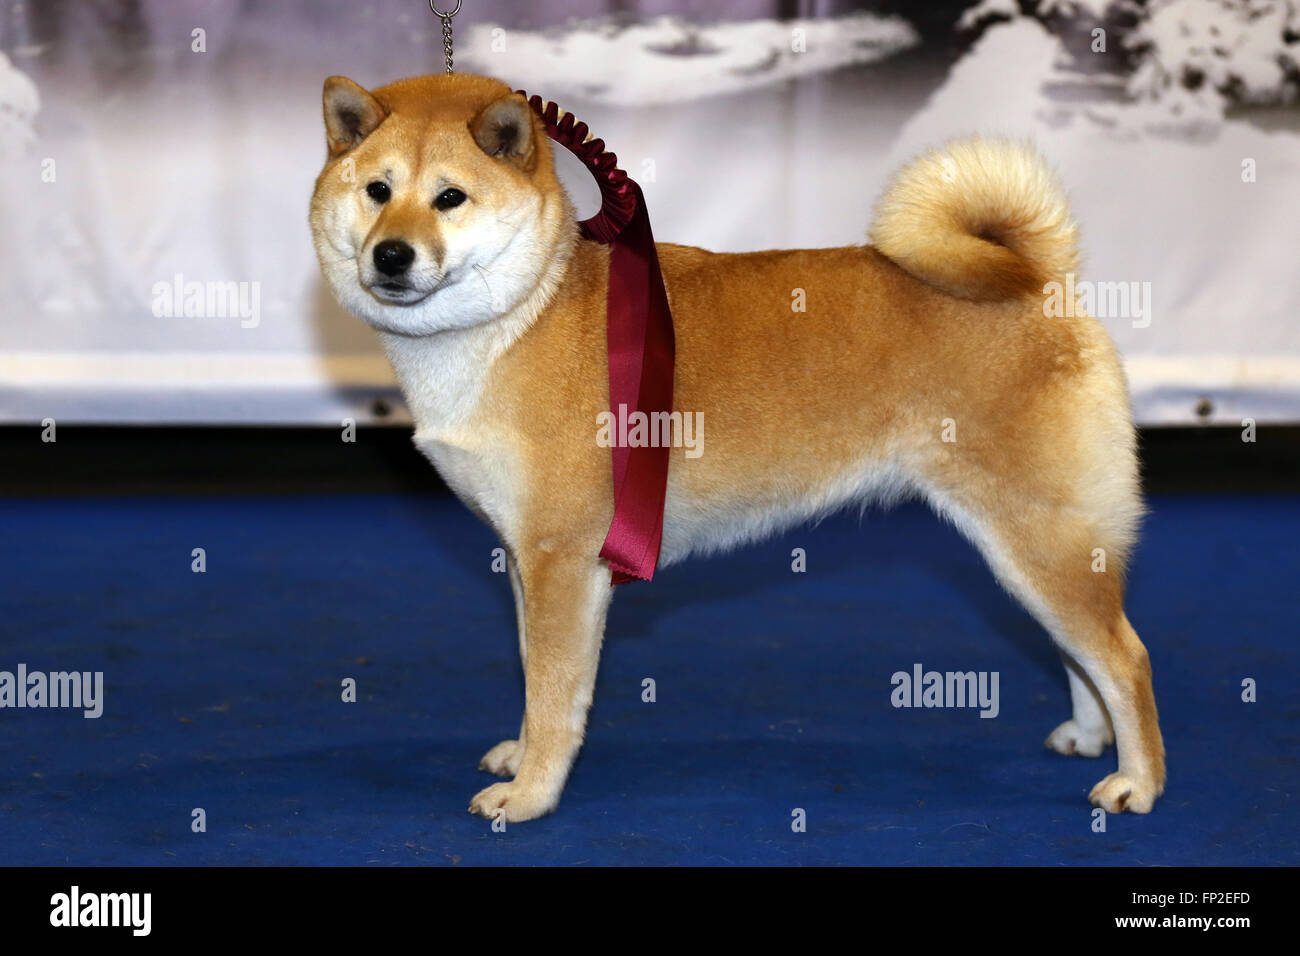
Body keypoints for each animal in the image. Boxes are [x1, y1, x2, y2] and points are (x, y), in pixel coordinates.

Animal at [309, 74, 1164, 822]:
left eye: (450, 197)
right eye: (377, 191)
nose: (391, 255)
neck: (519, 316)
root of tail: (1042, 281)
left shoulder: (562, 560)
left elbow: (554, 694)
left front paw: (529, 797)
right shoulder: (527, 559)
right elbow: (532, 675)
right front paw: (521, 760)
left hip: (1036, 538)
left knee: (1124, 656)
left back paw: (1138, 783)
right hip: (1034, 548)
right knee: (1083, 653)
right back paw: (1089, 739)